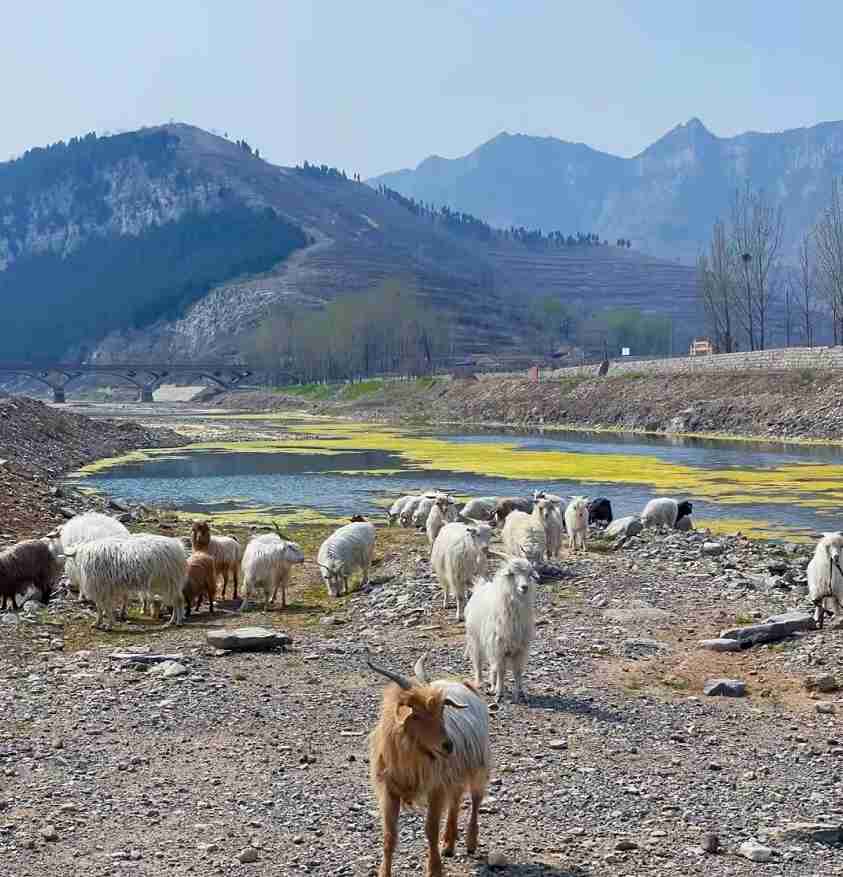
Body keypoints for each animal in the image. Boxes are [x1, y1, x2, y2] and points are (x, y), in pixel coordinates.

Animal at [366, 652, 492, 876]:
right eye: (415, 713)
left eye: (442, 710)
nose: (448, 745)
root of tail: (464, 684)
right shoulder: (390, 790)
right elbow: (389, 835)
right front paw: (384, 872)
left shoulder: (437, 788)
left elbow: (431, 829)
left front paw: (434, 869)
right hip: (455, 770)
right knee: (456, 798)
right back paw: (449, 843)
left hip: (478, 765)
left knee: (476, 799)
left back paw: (470, 842)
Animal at [464, 556, 536, 704]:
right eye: (511, 574)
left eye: (529, 574)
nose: (524, 587)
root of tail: (480, 586)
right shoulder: (499, 648)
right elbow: (502, 671)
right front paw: (499, 694)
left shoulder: (520, 649)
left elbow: (518, 671)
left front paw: (520, 694)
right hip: (475, 639)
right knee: (478, 662)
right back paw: (480, 683)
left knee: (493, 667)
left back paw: (492, 685)